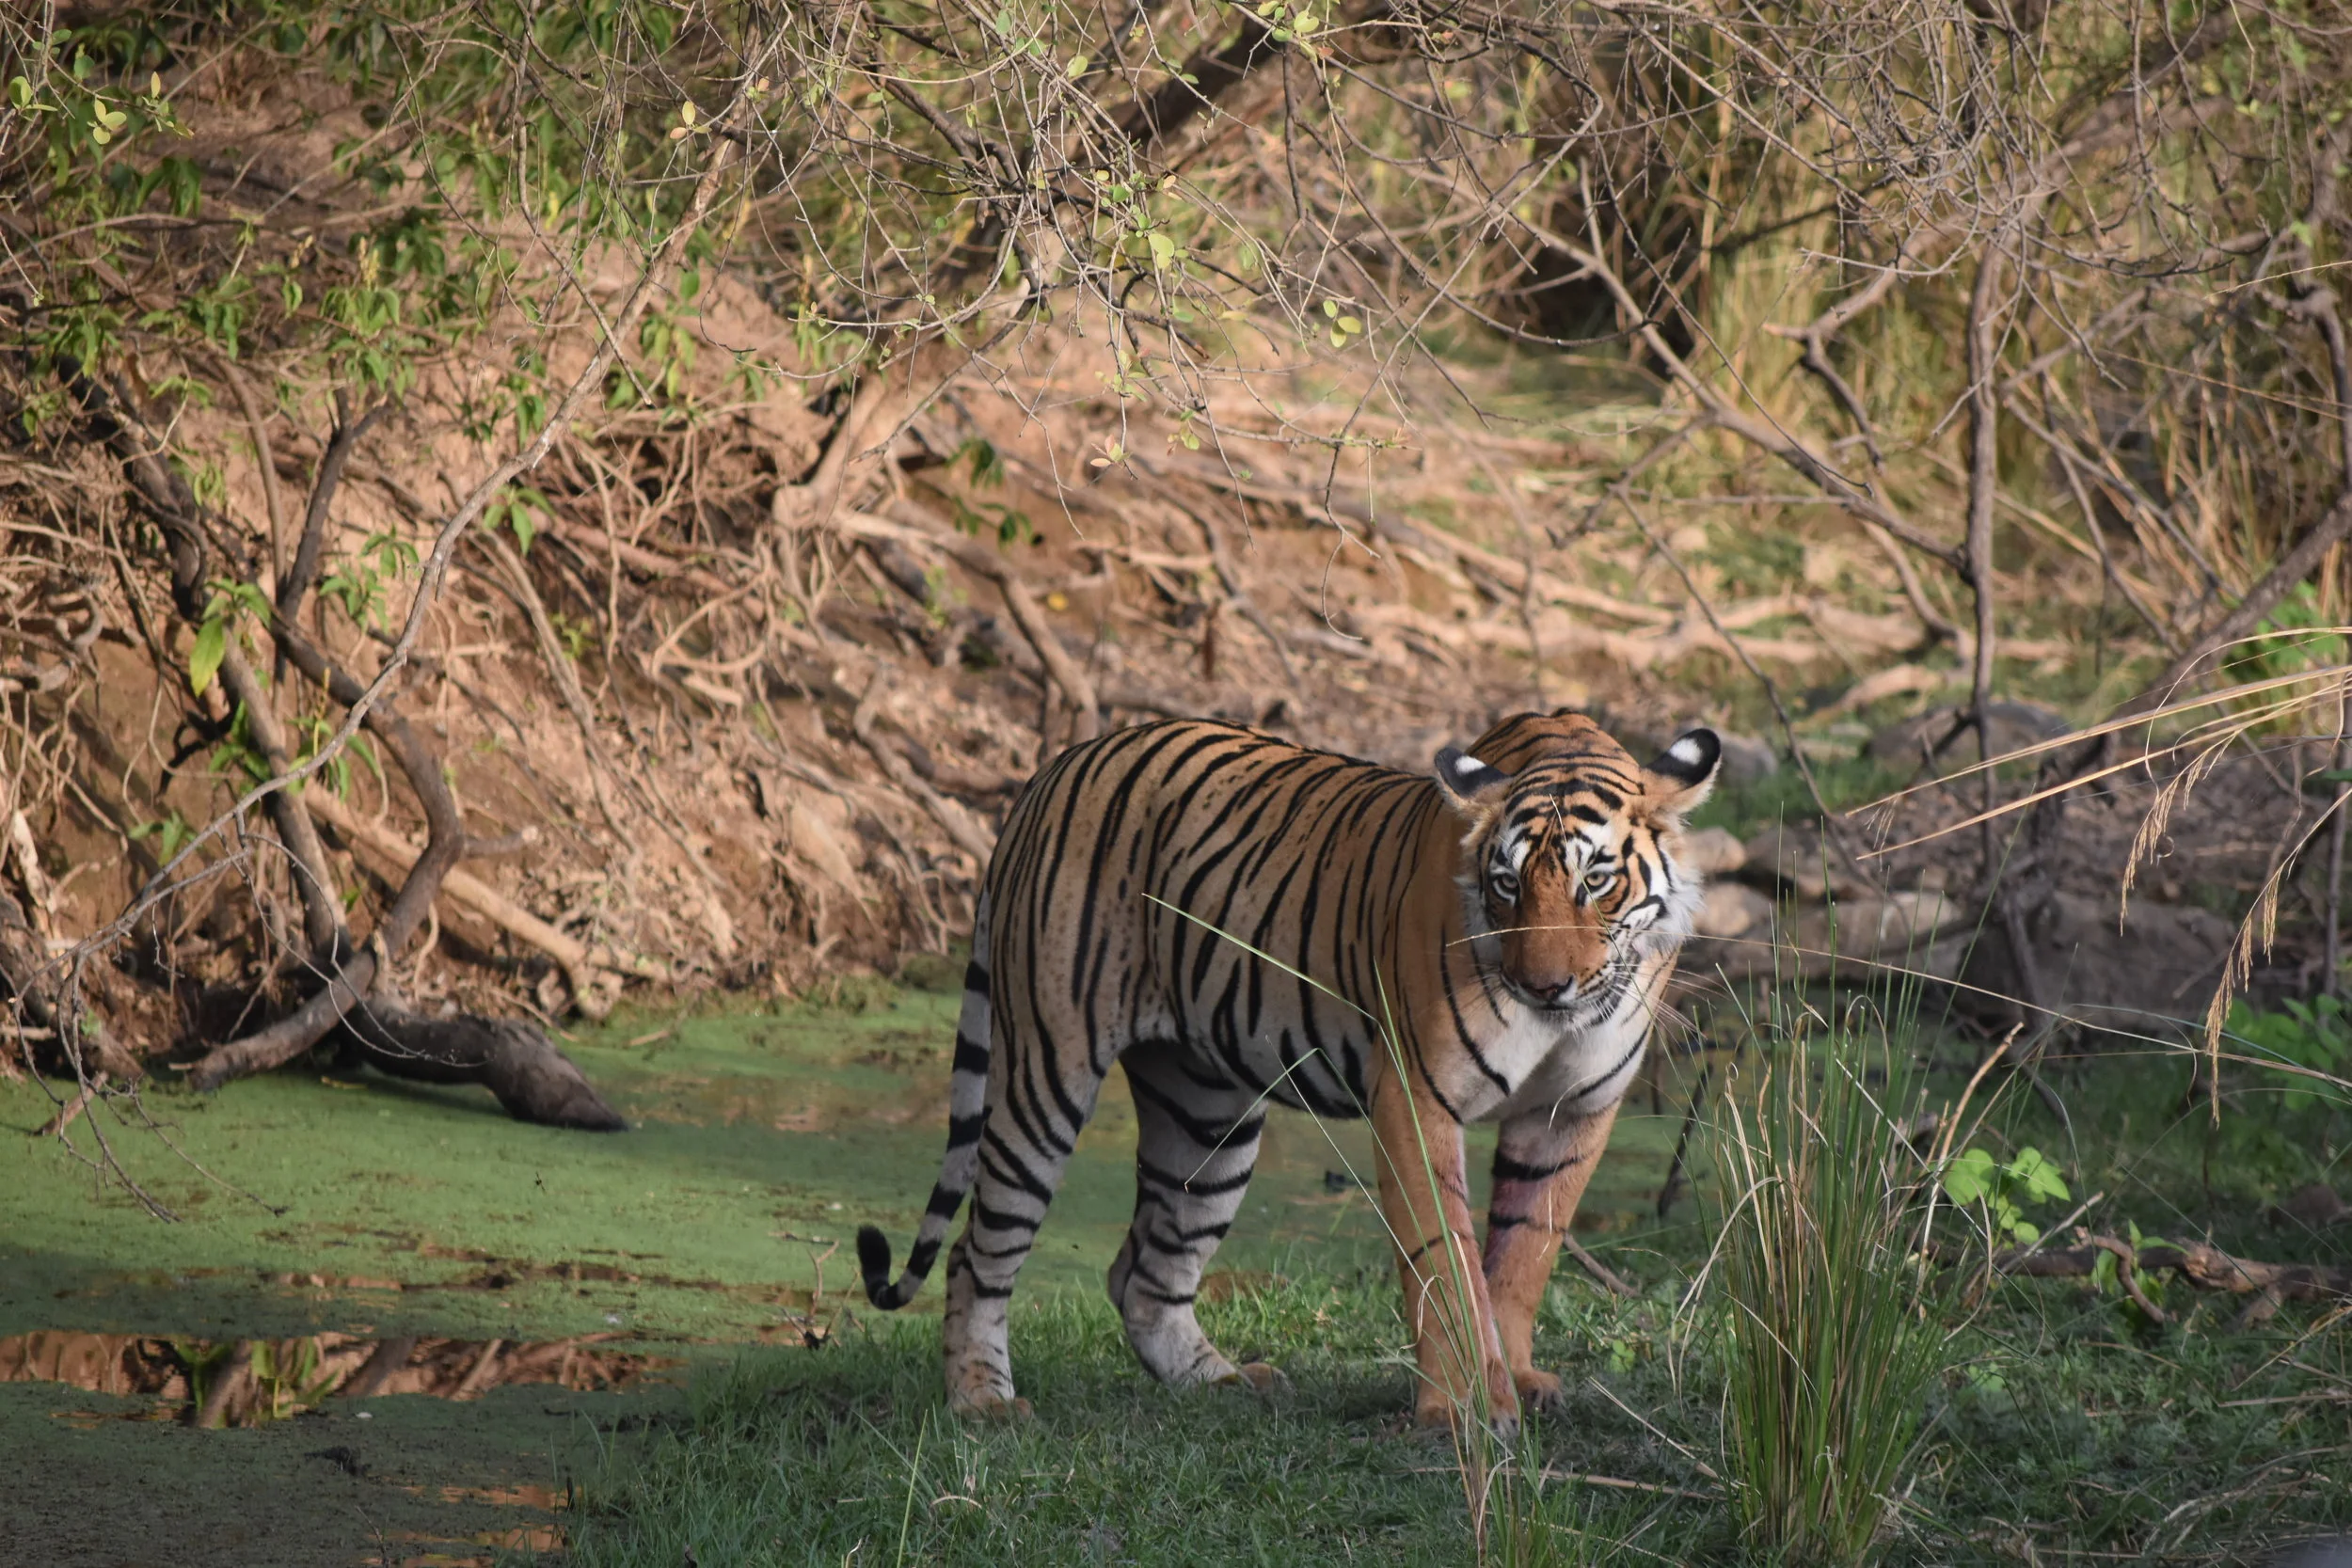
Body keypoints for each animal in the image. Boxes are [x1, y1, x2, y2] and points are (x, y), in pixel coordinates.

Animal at [856, 709, 1720, 1430]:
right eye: (1506, 884)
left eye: (1594, 881)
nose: (1544, 986)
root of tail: (1053, 766)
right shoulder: (1416, 1097)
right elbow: (1447, 1264)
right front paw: (1464, 1408)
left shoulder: (1572, 1109)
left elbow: (1523, 1256)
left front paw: (1519, 1378)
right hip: (1047, 1068)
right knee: (977, 1251)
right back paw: (983, 1400)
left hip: (1208, 1116)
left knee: (1145, 1272)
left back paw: (1223, 1381)